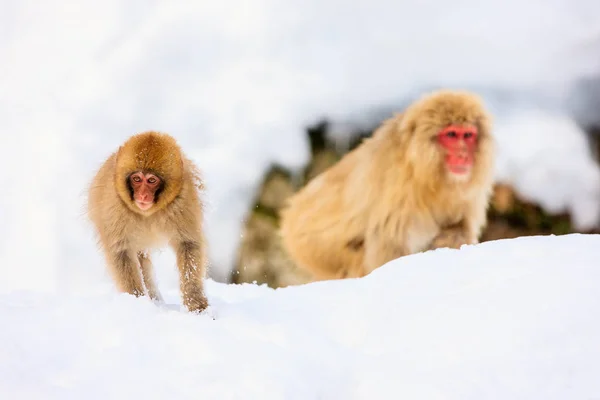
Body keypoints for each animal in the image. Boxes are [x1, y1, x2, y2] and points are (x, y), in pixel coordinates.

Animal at [86, 131, 209, 312]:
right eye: (137, 179)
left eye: (151, 180)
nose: (143, 196)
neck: (147, 213)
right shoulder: (114, 206)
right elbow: (121, 252)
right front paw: (136, 300)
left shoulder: (183, 201)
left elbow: (188, 244)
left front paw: (196, 303)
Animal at [278, 89, 494, 280]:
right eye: (451, 135)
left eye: (468, 135)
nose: (464, 155)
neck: (427, 175)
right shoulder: (399, 187)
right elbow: (389, 249)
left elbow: (460, 228)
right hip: (313, 249)